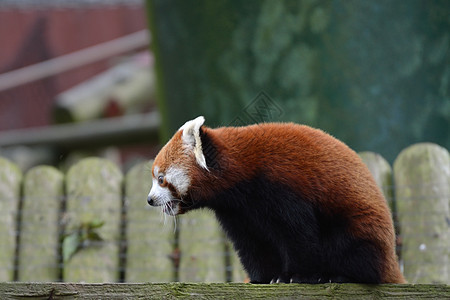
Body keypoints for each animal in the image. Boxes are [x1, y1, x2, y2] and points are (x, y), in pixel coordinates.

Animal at [147, 116, 404, 284]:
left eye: (161, 179)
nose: (149, 200)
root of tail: (391, 258)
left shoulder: (283, 188)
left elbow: (299, 237)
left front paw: (295, 276)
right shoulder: (237, 213)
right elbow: (253, 246)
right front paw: (261, 278)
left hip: (357, 228)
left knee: (352, 252)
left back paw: (337, 275)